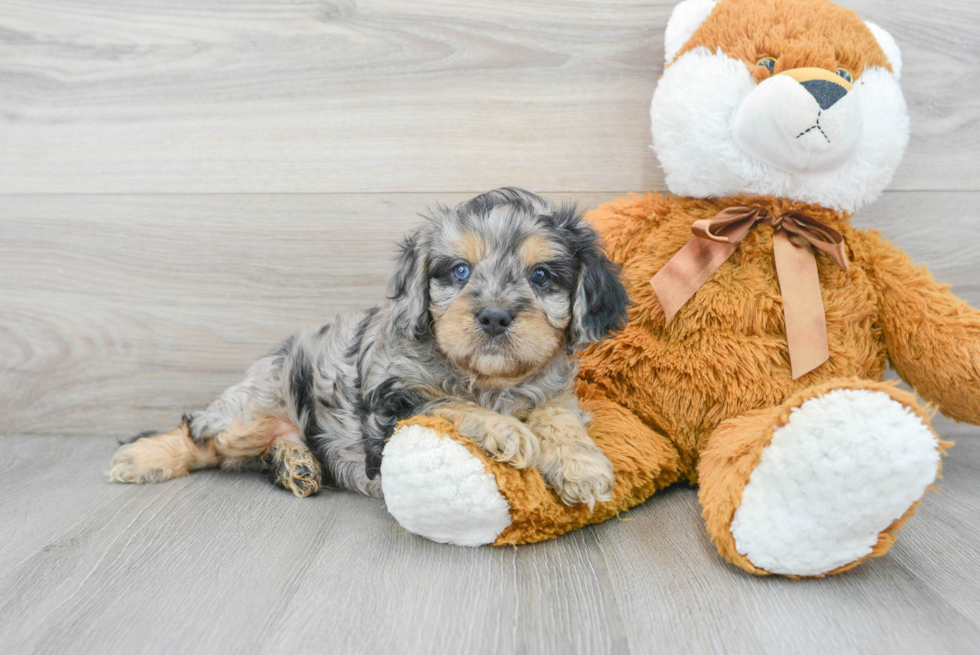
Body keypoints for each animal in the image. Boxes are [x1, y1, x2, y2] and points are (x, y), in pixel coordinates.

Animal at [107, 188, 628, 508]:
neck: (487, 378)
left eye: (541, 276)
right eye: (459, 271)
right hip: (252, 407)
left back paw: (296, 463)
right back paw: (143, 458)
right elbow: (450, 403)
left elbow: (559, 418)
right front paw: (506, 431)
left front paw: (582, 467)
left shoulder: (554, 391)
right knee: (201, 434)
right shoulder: (394, 403)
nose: (495, 316)